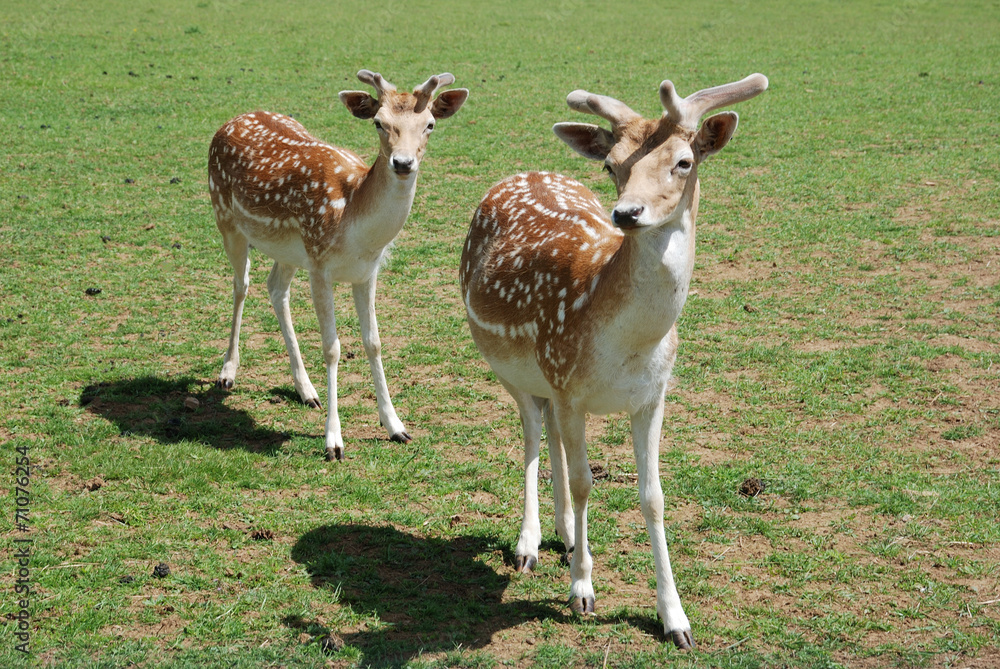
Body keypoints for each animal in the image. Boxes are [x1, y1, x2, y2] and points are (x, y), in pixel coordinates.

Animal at [208, 70, 472, 462]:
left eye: (430, 124)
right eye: (379, 122)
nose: (403, 163)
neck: (354, 220)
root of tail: (231, 120)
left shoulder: (367, 272)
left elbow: (374, 342)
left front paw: (396, 426)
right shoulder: (321, 267)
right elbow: (332, 348)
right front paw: (334, 441)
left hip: (289, 251)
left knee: (275, 288)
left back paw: (306, 390)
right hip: (226, 218)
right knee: (242, 285)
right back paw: (228, 372)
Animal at [458, 73, 768, 648]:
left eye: (683, 161)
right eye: (611, 164)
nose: (626, 213)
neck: (629, 342)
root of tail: (520, 173)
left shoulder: (652, 396)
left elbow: (653, 497)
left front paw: (675, 619)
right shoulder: (571, 386)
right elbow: (586, 482)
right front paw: (583, 591)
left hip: (549, 380)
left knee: (552, 435)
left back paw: (564, 535)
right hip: (509, 365)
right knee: (533, 431)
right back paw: (531, 543)